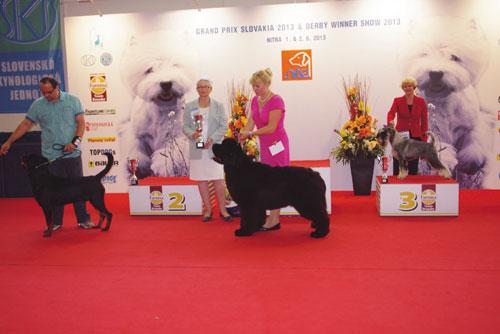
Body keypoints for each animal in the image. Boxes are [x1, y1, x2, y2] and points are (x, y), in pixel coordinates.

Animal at [119, 30, 199, 179]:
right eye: (150, 69)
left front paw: (162, 168)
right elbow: (135, 150)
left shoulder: (177, 138)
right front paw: (139, 167)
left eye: (175, 65)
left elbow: (169, 154)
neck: (162, 110)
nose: (166, 83)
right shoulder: (137, 135)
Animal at [400, 17, 494, 188]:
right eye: (424, 54)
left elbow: (475, 137)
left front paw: (470, 162)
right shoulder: (430, 130)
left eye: (454, 57)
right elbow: (438, 145)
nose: (435, 73)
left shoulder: (475, 122)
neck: (444, 103)